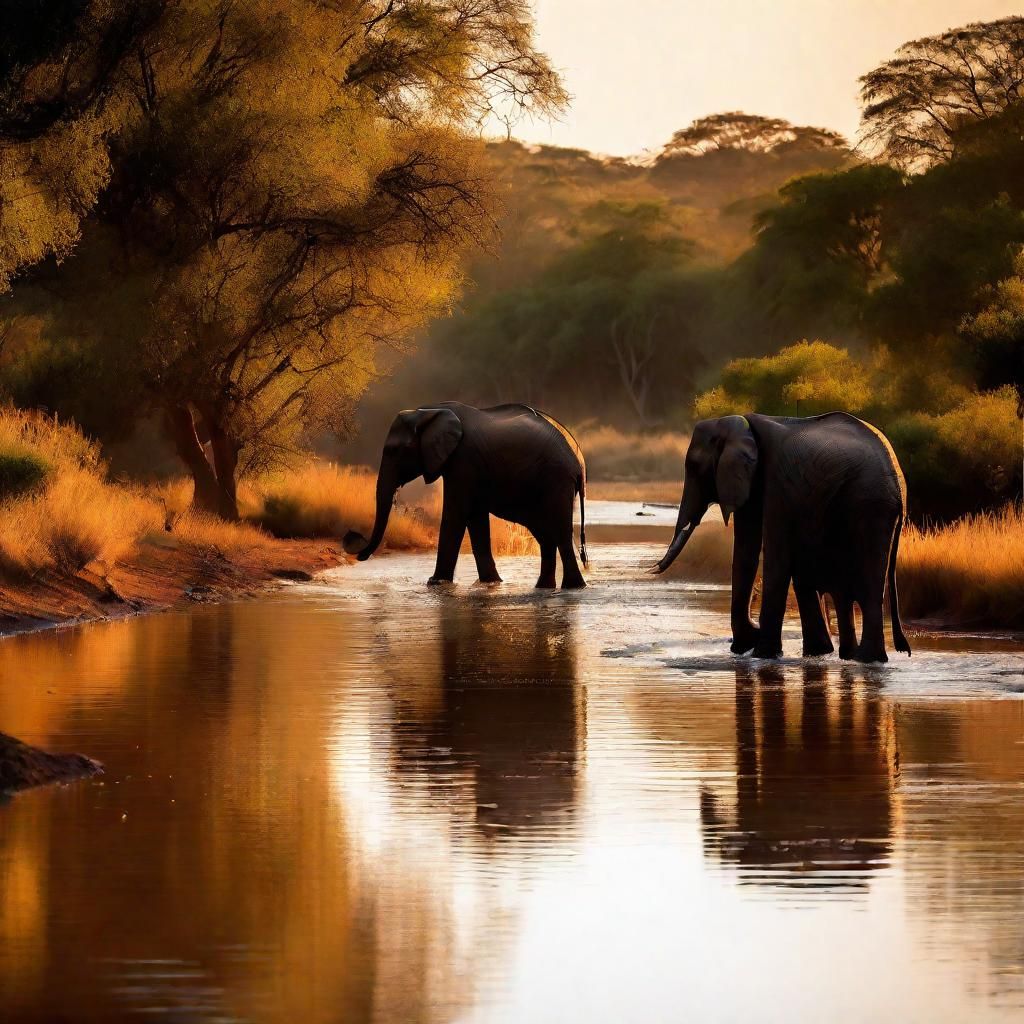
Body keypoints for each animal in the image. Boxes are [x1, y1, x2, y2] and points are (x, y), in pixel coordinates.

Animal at [344, 402, 588, 588]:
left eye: (394, 450)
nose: (354, 543)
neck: (429, 411)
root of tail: (579, 462)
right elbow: (475, 517)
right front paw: (490, 583)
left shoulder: (463, 459)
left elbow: (456, 512)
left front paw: (435, 583)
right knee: (545, 534)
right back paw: (544, 588)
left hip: (556, 480)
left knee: (559, 531)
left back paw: (573, 588)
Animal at [653, 412, 912, 664]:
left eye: (694, 466)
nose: (653, 568)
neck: (740, 424)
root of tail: (899, 484)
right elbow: (747, 549)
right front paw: (750, 646)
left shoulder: (776, 484)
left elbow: (773, 556)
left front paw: (761, 654)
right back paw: (857, 658)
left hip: (871, 505)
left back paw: (865, 659)